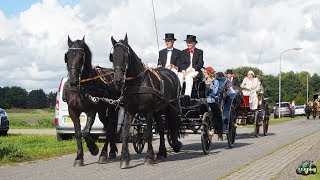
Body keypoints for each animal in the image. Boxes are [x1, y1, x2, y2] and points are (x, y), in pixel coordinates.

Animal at [64, 35, 119, 167]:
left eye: (81, 57)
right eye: (67, 56)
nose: (73, 81)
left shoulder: (91, 110)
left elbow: (85, 132)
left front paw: (94, 149)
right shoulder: (73, 111)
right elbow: (78, 133)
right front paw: (79, 158)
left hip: (112, 109)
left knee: (110, 128)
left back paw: (103, 154)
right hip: (102, 111)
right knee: (107, 126)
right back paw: (112, 150)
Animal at [109, 34, 182, 168]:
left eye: (125, 56)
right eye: (113, 57)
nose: (118, 80)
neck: (138, 83)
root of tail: (170, 73)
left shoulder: (148, 111)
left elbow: (148, 134)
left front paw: (149, 157)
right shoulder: (130, 110)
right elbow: (125, 133)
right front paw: (124, 159)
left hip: (171, 105)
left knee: (173, 124)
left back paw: (175, 144)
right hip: (158, 110)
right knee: (162, 129)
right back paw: (161, 152)